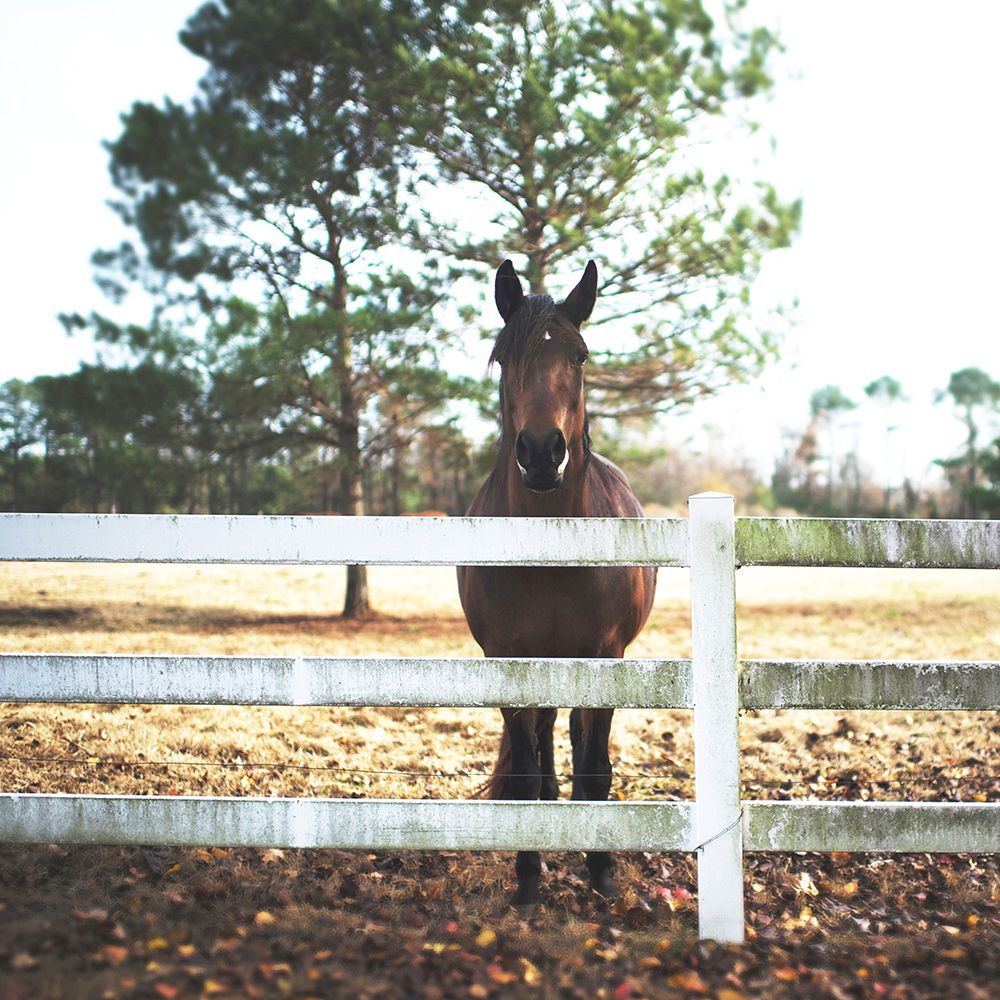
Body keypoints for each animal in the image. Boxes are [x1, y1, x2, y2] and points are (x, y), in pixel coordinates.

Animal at [458, 259, 657, 907]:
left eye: (580, 355)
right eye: (503, 356)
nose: (543, 452)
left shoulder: (607, 656)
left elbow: (594, 764)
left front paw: (601, 871)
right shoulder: (507, 658)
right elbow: (523, 770)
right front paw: (527, 878)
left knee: (570, 733)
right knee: (545, 737)